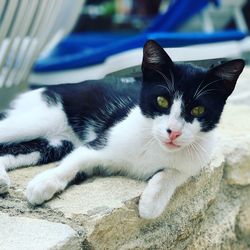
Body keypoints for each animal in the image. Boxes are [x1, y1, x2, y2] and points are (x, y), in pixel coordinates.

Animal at [0, 40, 244, 218]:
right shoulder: (102, 142)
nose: (173, 131)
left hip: (56, 143)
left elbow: (175, 172)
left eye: (198, 110)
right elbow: (74, 161)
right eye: (162, 101)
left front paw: (151, 202)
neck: (154, 144)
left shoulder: (197, 158)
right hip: (41, 119)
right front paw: (43, 183)